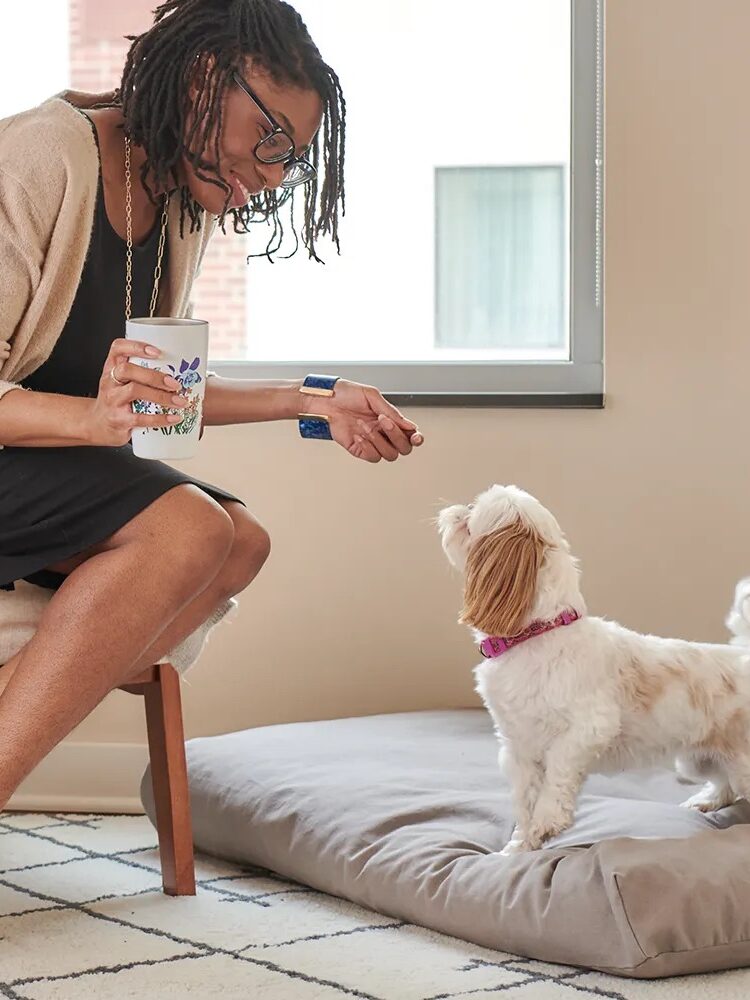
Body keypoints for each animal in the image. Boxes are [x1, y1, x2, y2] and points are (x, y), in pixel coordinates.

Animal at [438, 488, 750, 856]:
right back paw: (706, 801)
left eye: (470, 516)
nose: (451, 511)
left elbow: (557, 770)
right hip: (697, 759)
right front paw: (518, 848)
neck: (539, 635)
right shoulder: (519, 748)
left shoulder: (589, 728)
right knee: (726, 784)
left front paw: (548, 819)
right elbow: (524, 802)